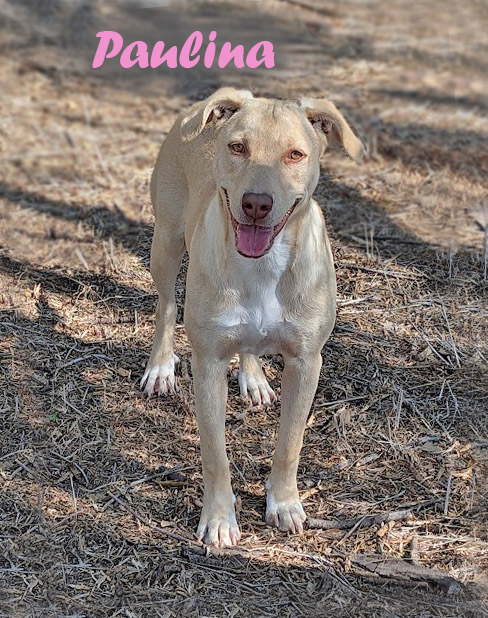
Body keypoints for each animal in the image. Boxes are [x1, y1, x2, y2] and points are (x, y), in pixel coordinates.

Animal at [141, 88, 364, 547]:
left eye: (295, 154)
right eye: (237, 147)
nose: (257, 203)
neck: (261, 267)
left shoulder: (306, 362)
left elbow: (290, 444)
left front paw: (285, 504)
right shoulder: (207, 363)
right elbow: (215, 454)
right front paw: (219, 519)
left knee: (248, 344)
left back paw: (254, 377)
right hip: (166, 243)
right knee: (166, 306)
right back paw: (160, 367)